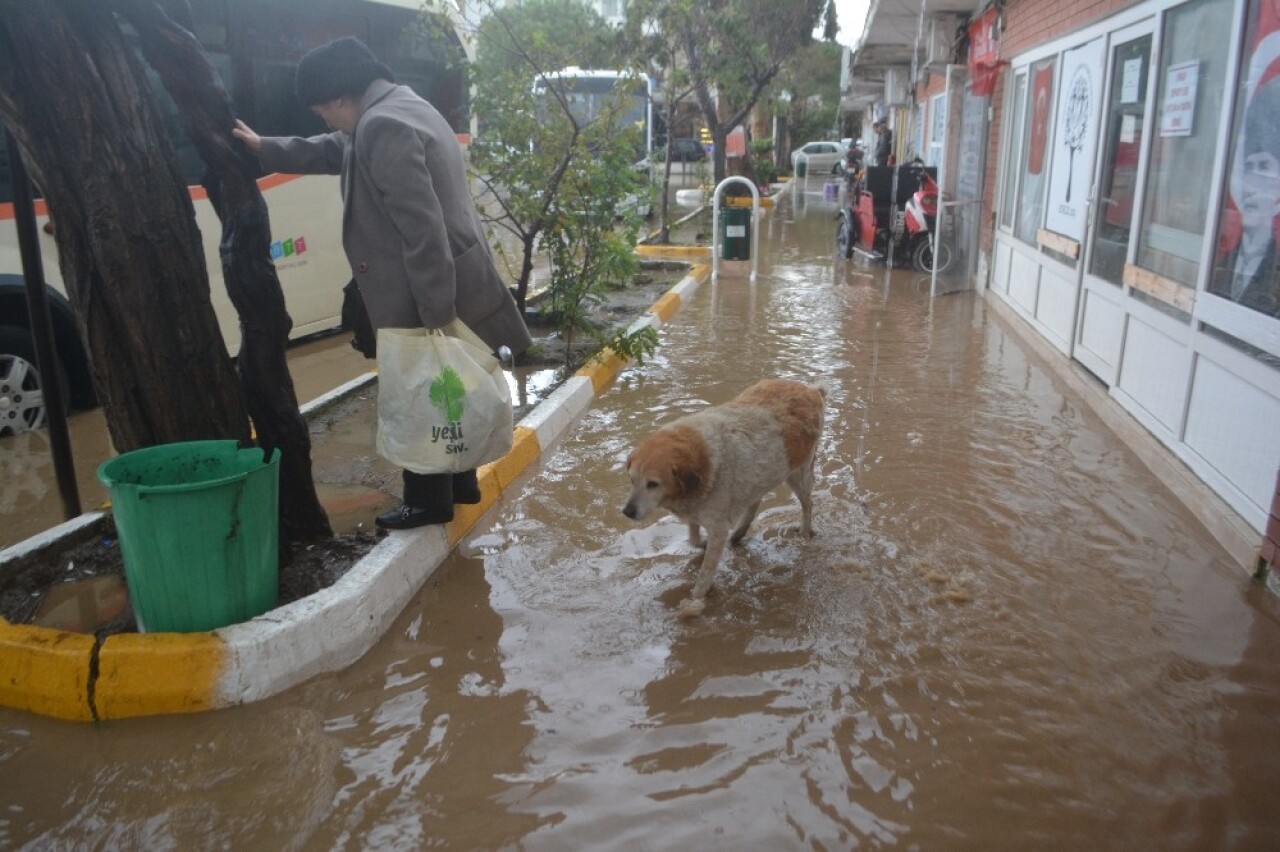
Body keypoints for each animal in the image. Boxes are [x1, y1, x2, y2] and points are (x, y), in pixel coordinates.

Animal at [622, 376, 824, 611]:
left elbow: (705, 574)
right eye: (632, 479)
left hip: (797, 474)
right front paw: (702, 543)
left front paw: (694, 602)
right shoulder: (697, 509)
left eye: (652, 484)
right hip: (764, 475)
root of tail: (811, 390)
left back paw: (804, 533)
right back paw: (739, 533)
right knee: (755, 501)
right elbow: (693, 538)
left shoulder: (717, 526)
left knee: (807, 504)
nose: (627, 512)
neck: (705, 460)